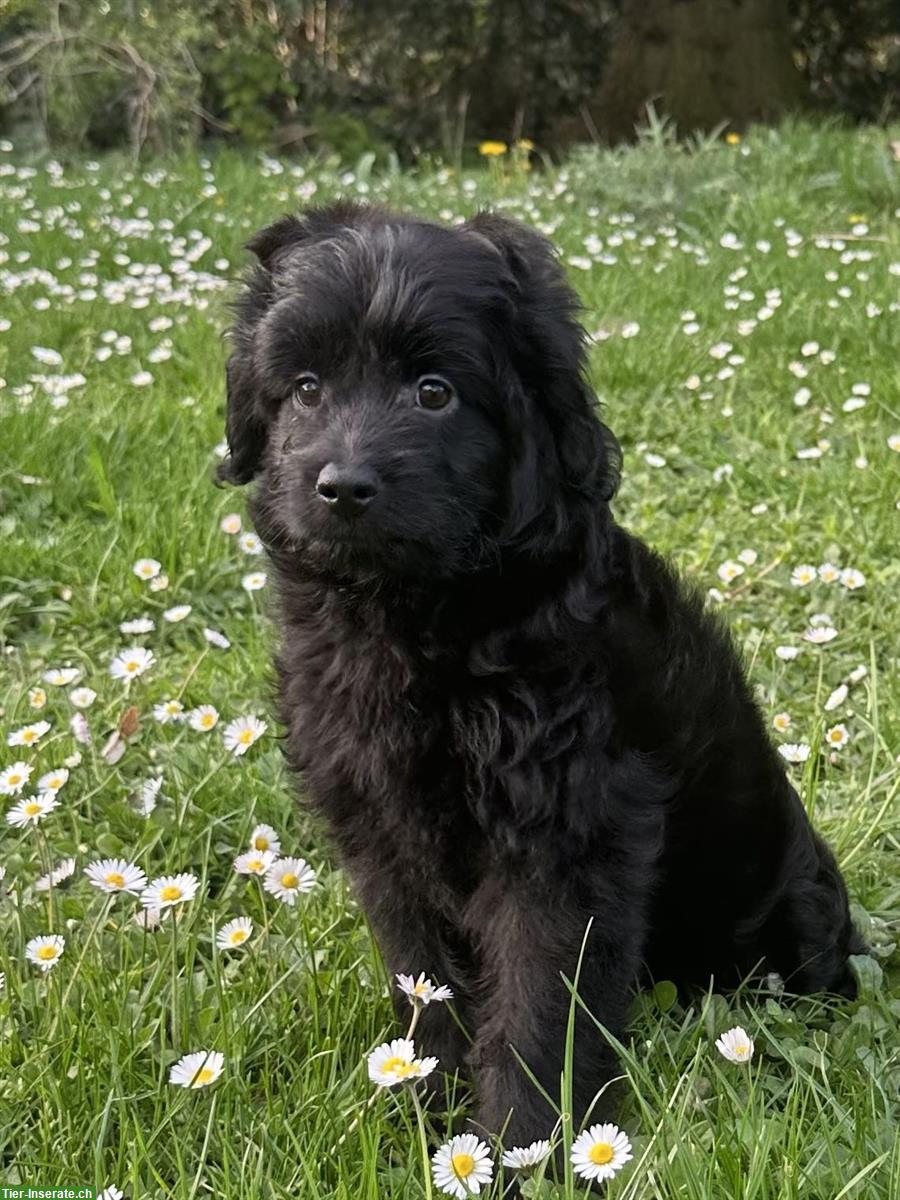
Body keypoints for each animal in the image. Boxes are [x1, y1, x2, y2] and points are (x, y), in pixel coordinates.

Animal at [222, 201, 864, 1147]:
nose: (342, 487)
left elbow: (538, 1000)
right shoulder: (382, 837)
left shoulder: (566, 837)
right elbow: (425, 976)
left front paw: (528, 1142)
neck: (425, 616)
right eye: (305, 388)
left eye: (435, 392)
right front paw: (429, 1103)